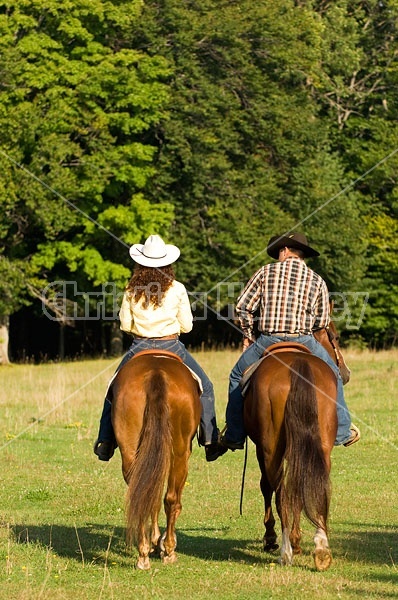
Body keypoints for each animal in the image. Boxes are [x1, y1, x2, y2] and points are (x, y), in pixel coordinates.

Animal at [110, 352, 201, 572]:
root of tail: (156, 372)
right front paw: (161, 544)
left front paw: (154, 541)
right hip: (180, 452)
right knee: (171, 499)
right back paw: (168, 549)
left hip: (130, 451)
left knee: (142, 494)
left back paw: (143, 554)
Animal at [244, 324, 350, 572]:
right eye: (335, 336)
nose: (346, 373)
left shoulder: (261, 449)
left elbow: (266, 487)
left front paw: (271, 538)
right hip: (321, 447)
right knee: (315, 485)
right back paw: (321, 549)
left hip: (271, 449)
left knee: (281, 492)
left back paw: (285, 551)